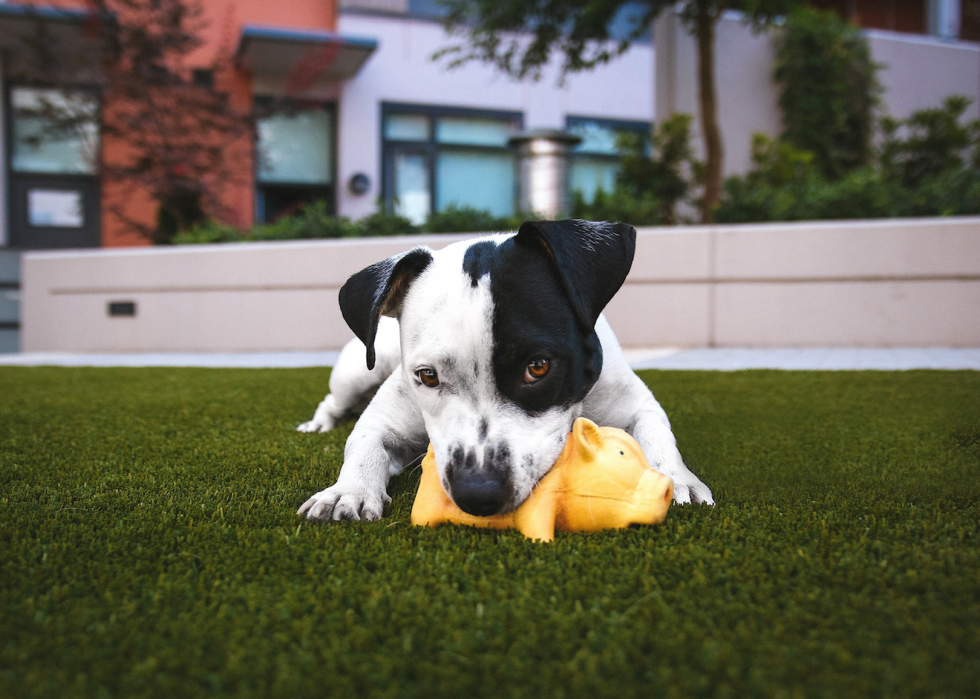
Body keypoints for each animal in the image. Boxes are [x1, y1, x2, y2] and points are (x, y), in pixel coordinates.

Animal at [294, 219, 708, 520]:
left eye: (537, 367)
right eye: (428, 376)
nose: (477, 494)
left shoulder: (636, 404)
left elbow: (656, 433)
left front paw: (674, 478)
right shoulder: (383, 420)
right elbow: (364, 445)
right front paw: (347, 491)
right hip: (358, 371)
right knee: (333, 400)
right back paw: (318, 424)